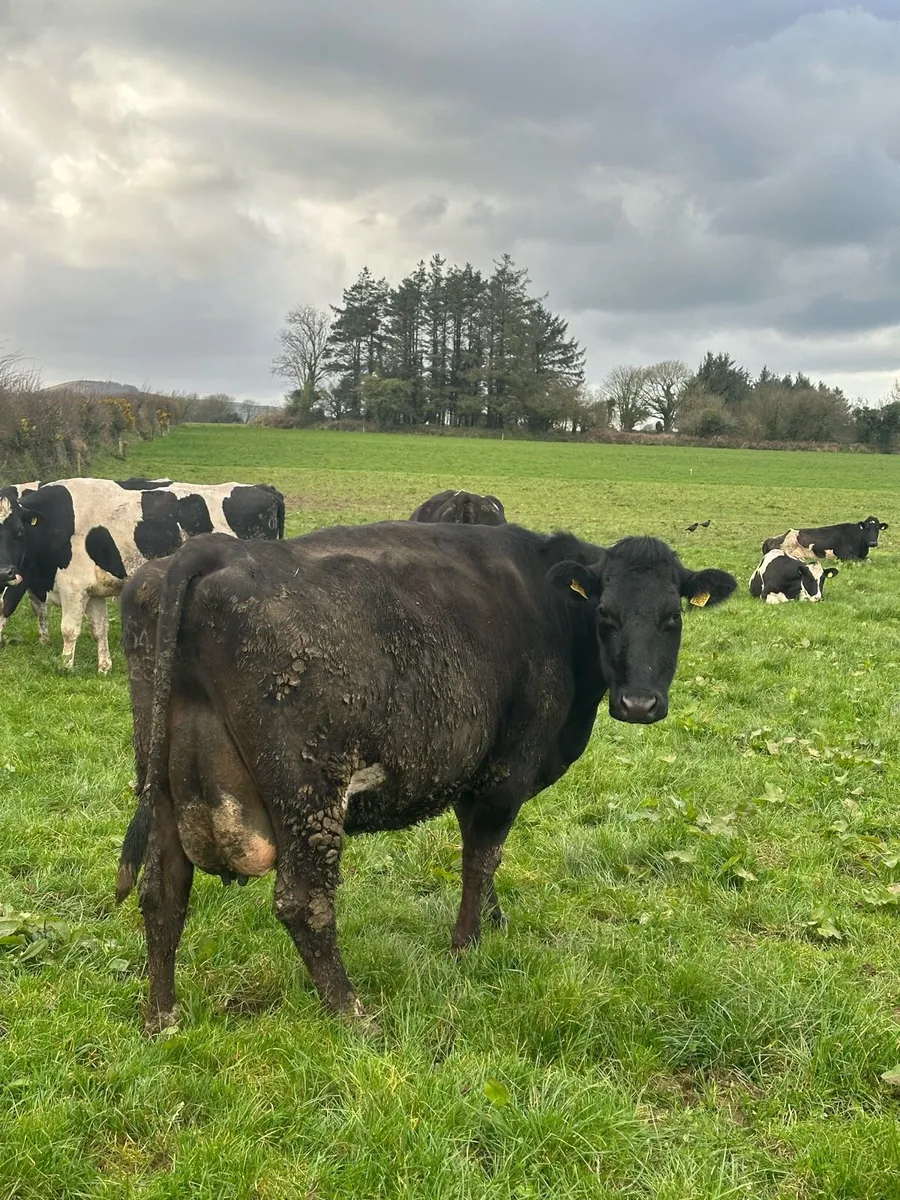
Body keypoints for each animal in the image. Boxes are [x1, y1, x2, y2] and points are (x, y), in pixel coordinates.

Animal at [0, 478, 285, 672]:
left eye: (19, 532)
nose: (5, 571)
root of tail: (263, 488)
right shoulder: (93, 590)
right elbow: (98, 628)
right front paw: (104, 666)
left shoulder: (73, 586)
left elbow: (69, 629)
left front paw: (65, 666)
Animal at [114, 522, 737, 1033]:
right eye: (606, 615)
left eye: (673, 618)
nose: (640, 703)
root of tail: (212, 549)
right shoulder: (506, 771)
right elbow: (482, 856)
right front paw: (466, 947)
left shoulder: (470, 773)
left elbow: (483, 860)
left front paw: (493, 922)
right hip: (308, 792)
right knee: (303, 903)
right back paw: (354, 1015)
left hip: (162, 783)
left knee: (162, 892)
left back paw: (162, 1019)